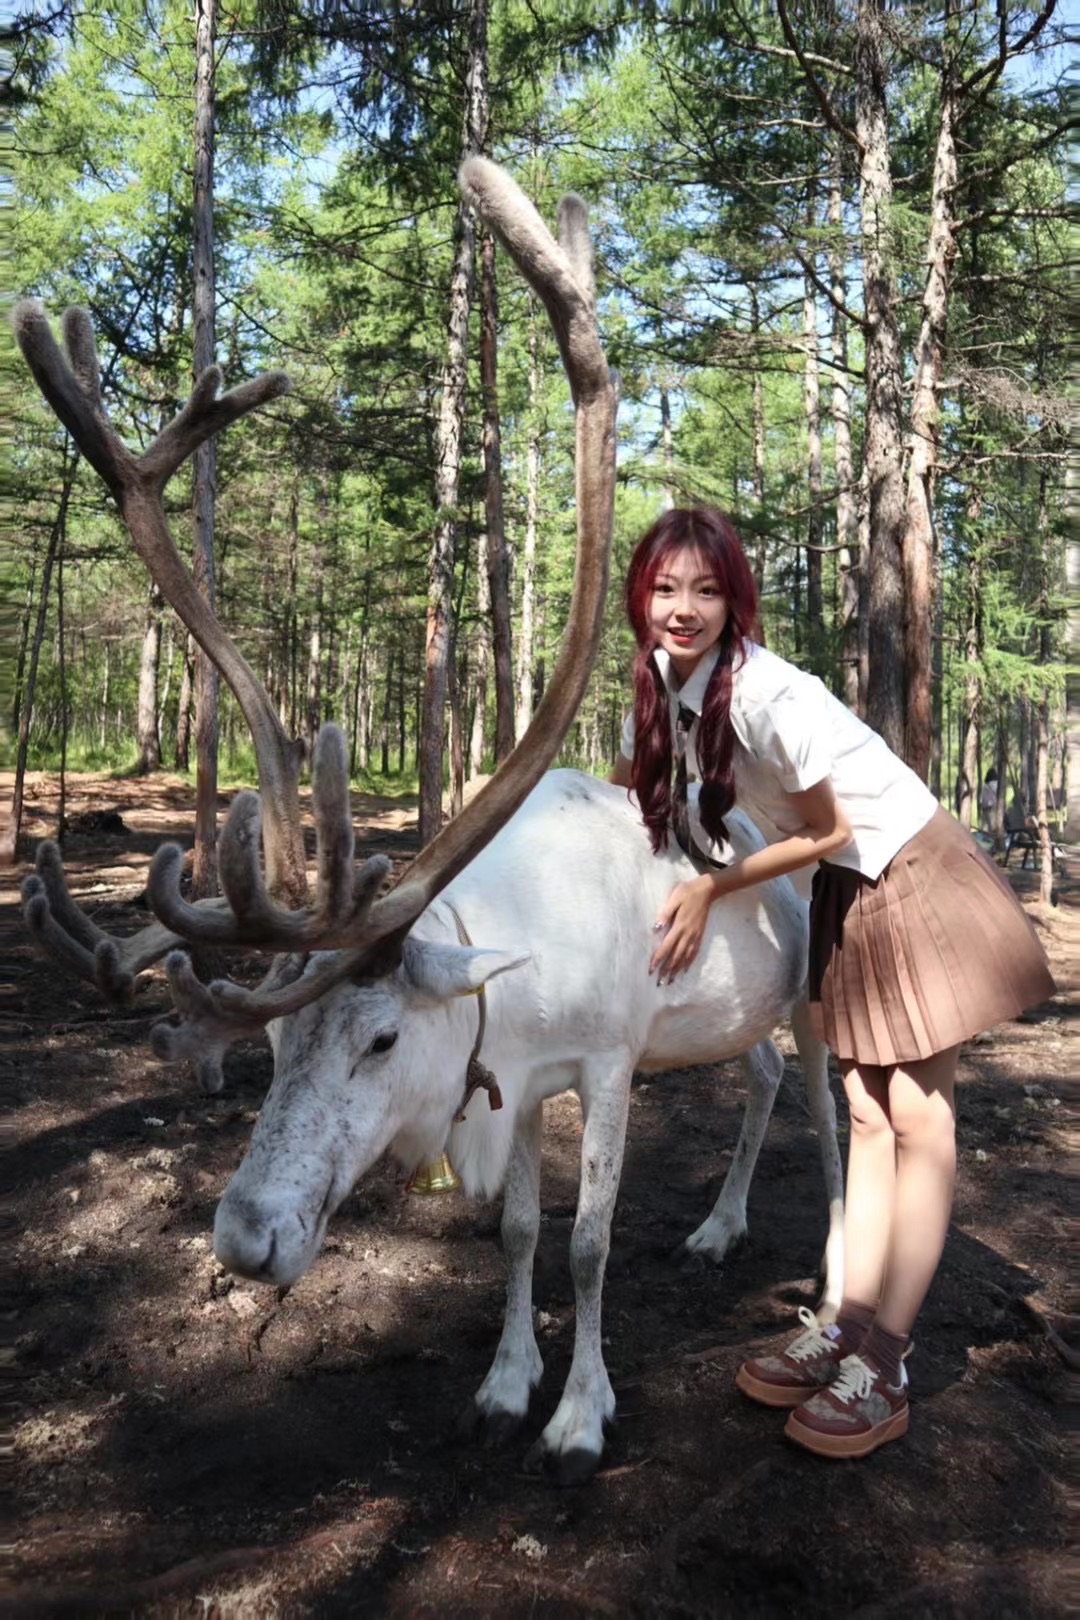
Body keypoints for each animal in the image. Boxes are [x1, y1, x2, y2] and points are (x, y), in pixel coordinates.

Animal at [16, 158, 844, 1487]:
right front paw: (508, 1382)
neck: (521, 979)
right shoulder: (524, 1077)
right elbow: (517, 1236)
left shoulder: (608, 1061)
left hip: (814, 988)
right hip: (728, 1013)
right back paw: (718, 1228)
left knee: (822, 1107)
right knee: (758, 1073)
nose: (243, 1238)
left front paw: (580, 1413)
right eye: (269, 1048)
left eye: (383, 1040)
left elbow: (587, 1243)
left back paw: (822, 1266)